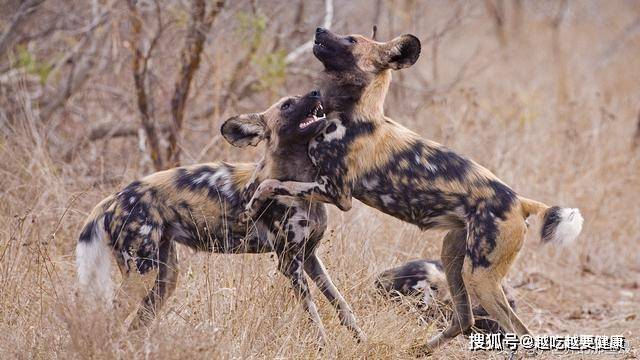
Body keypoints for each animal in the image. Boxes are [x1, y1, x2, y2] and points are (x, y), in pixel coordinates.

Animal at [74, 90, 364, 344]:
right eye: (287, 106)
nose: (316, 92)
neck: (298, 179)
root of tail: (115, 197)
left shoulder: (309, 257)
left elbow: (340, 303)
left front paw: (360, 338)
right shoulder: (290, 263)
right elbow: (314, 316)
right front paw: (324, 346)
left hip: (163, 278)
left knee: (134, 324)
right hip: (140, 276)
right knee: (109, 320)